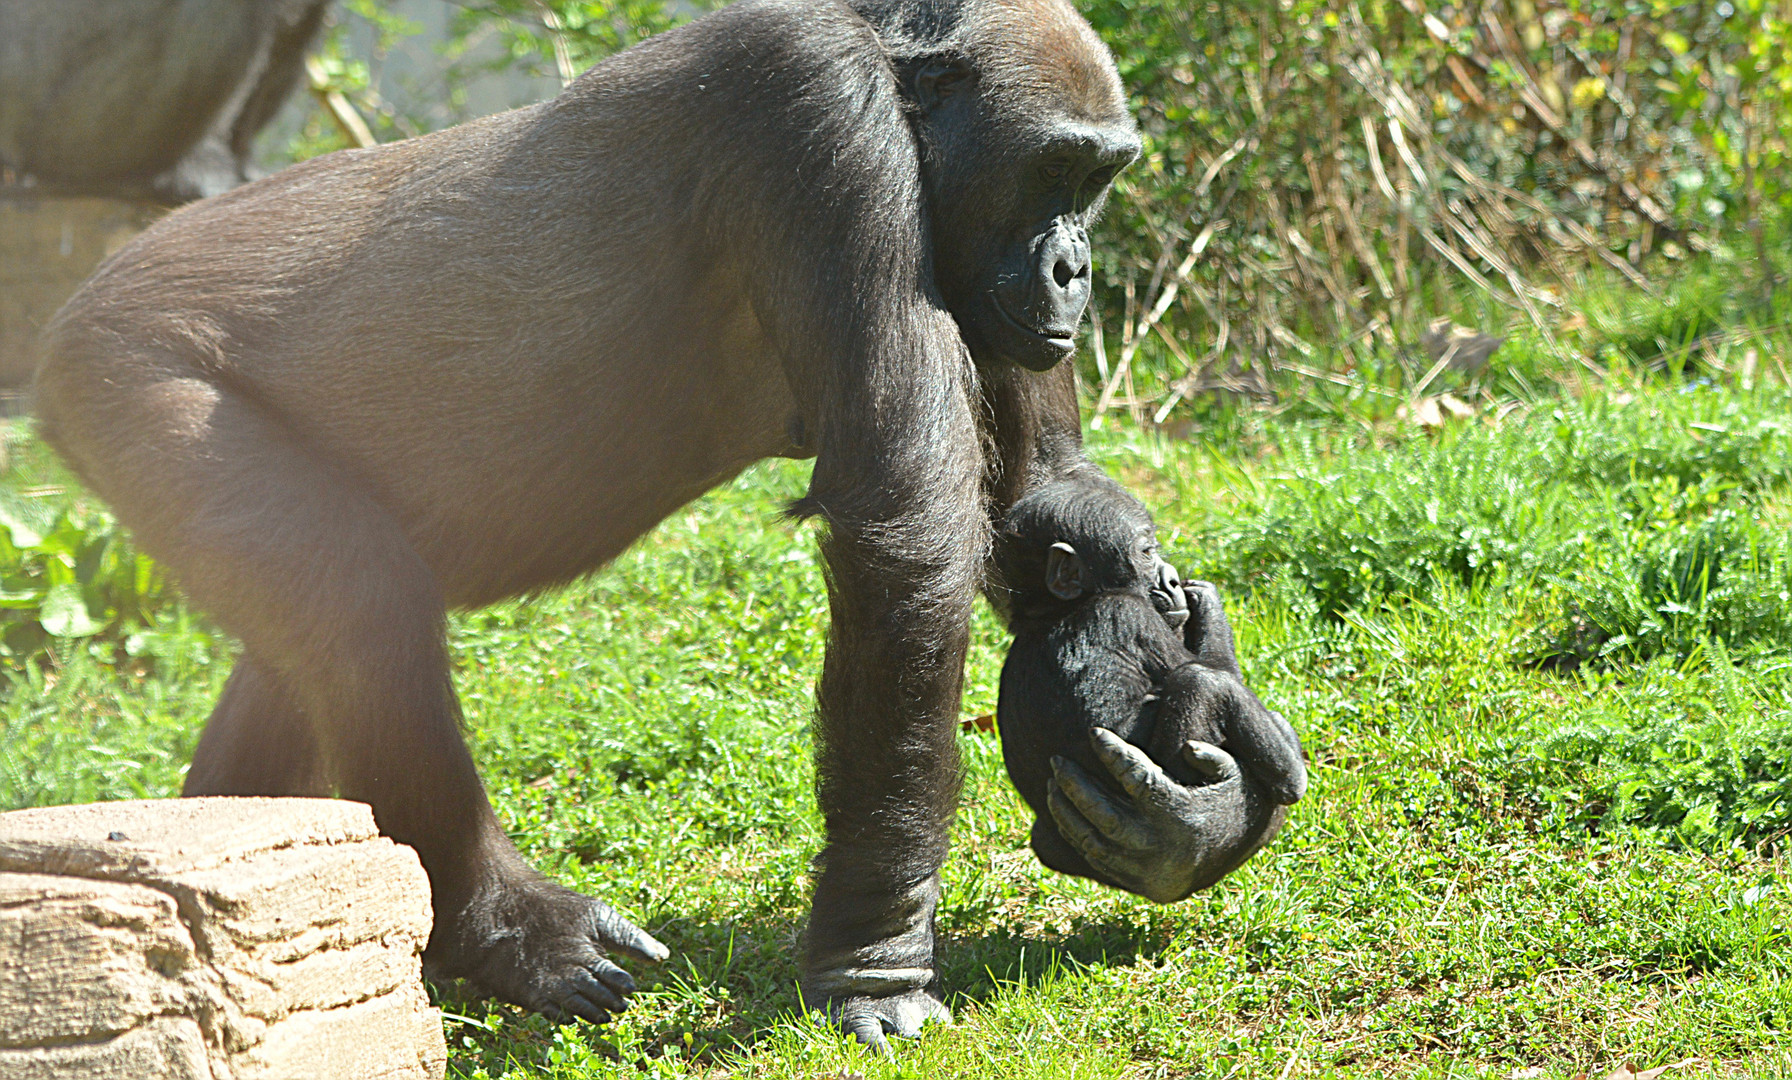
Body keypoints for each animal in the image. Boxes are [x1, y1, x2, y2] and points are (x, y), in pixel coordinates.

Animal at [996, 476, 1304, 902]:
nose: (1171, 577)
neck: (1051, 612)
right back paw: (1286, 775)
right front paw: (1207, 600)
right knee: (1202, 681)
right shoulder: (1130, 615)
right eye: (1146, 552)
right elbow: (1216, 671)